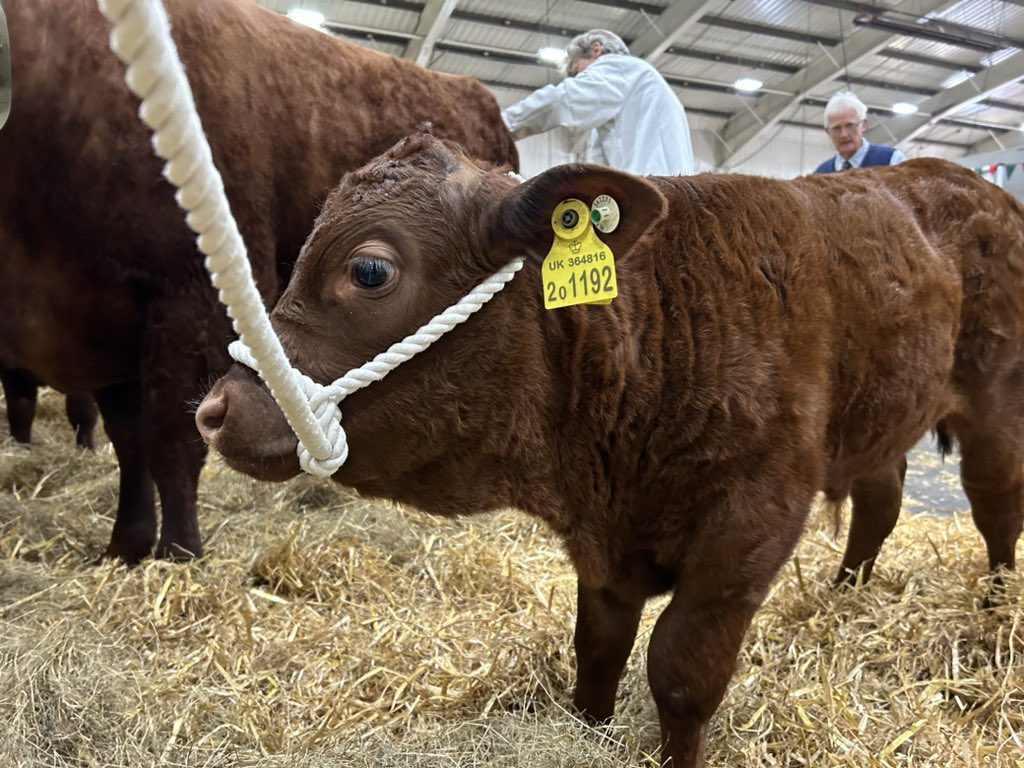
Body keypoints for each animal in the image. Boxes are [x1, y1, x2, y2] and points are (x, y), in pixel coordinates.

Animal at [197, 135, 1024, 765]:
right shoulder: (601, 548)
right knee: (881, 502)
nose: (215, 410)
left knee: (994, 506)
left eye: (369, 269)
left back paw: (994, 607)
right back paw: (844, 592)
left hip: (995, 403)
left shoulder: (751, 522)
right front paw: (586, 728)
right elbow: (597, 646)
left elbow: (682, 667)